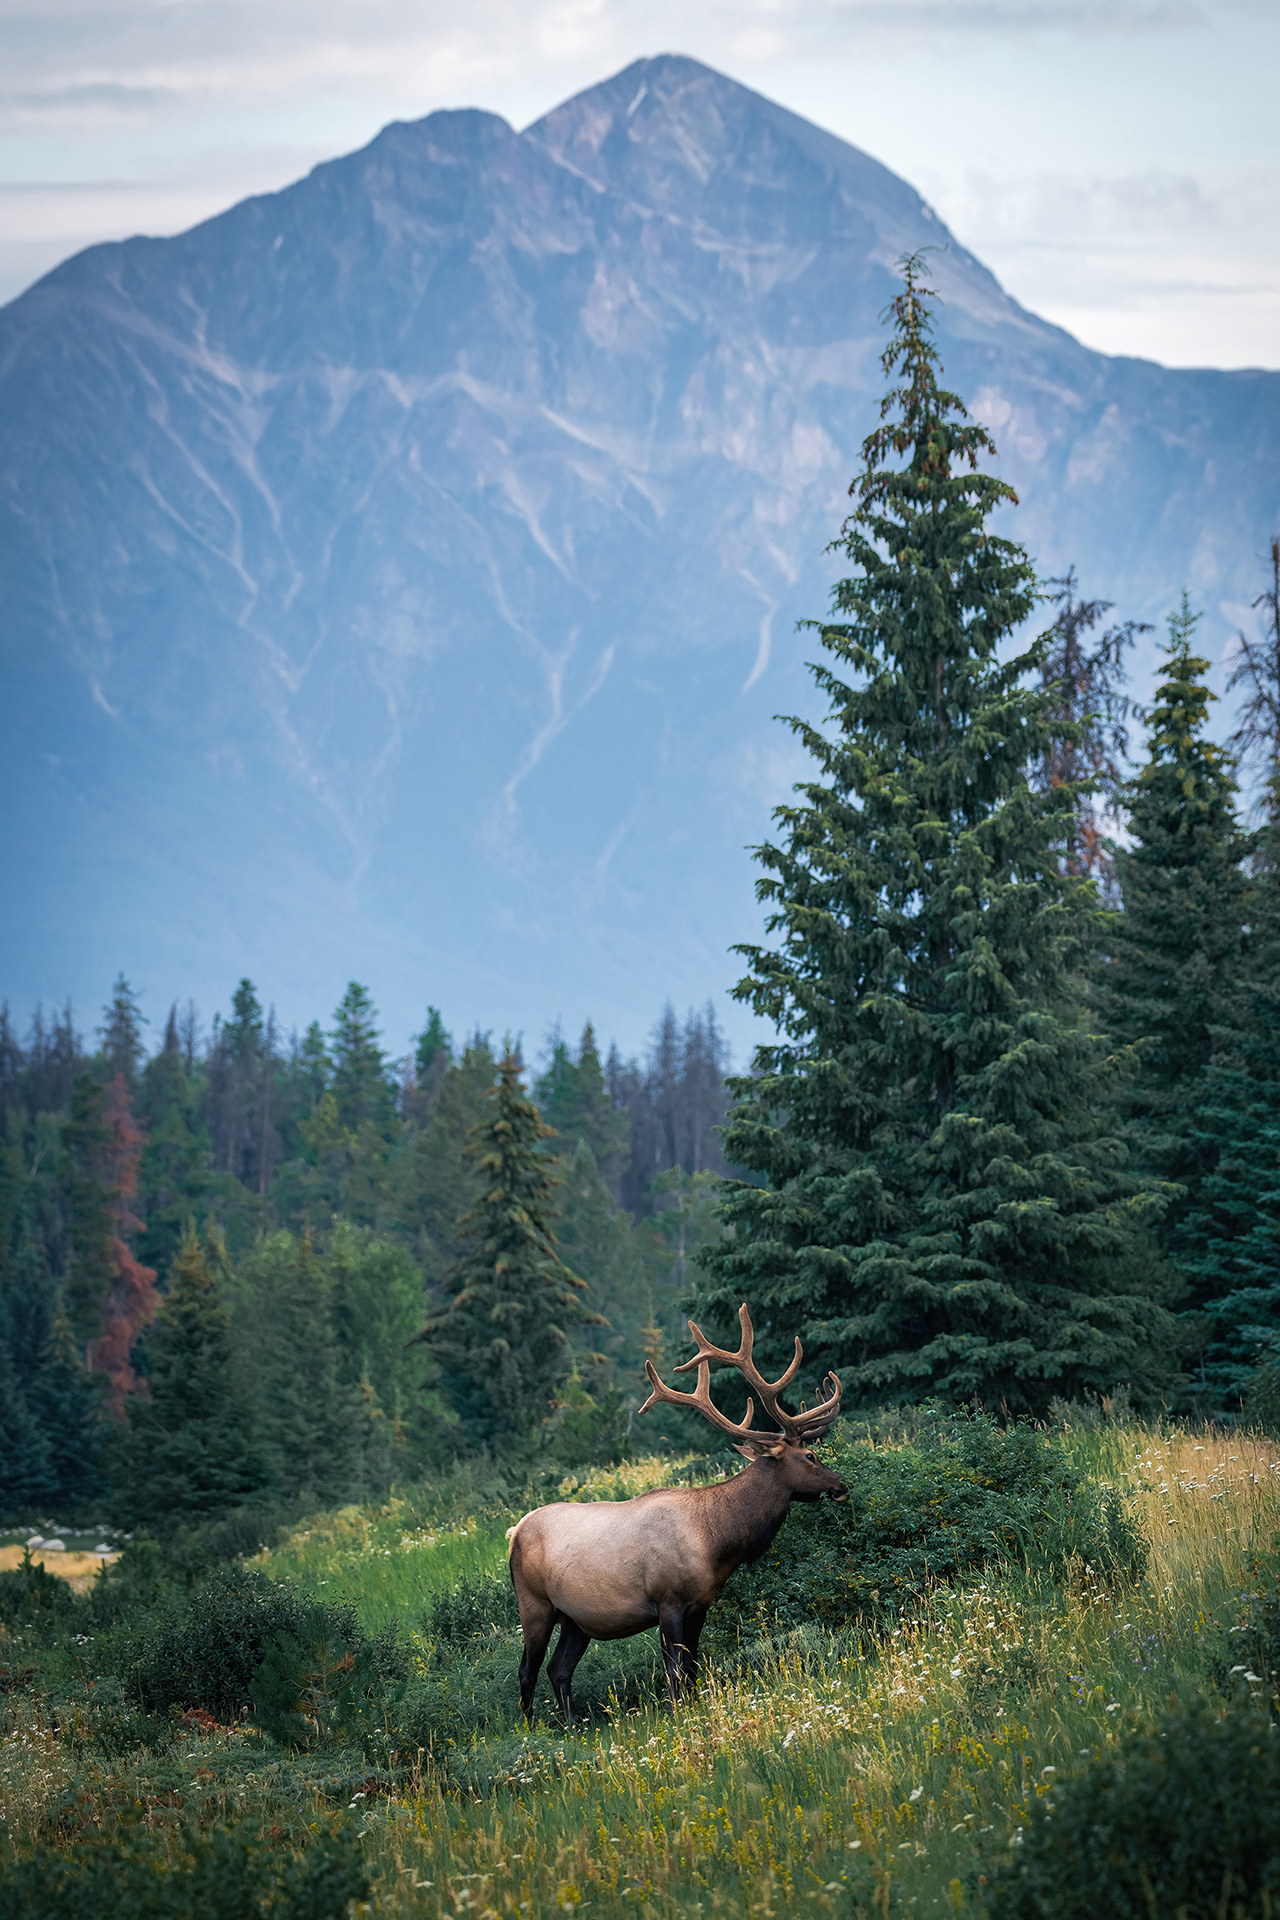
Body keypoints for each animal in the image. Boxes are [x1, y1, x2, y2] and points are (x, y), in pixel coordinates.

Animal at [506, 1305, 844, 1728]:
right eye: (810, 1456)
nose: (841, 1483)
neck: (717, 1542)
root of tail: (513, 1533)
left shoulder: (700, 1604)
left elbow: (693, 1667)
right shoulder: (667, 1601)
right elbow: (673, 1671)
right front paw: (678, 1714)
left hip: (576, 1619)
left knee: (559, 1669)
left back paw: (572, 1726)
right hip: (534, 1604)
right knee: (527, 1670)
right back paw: (531, 1729)